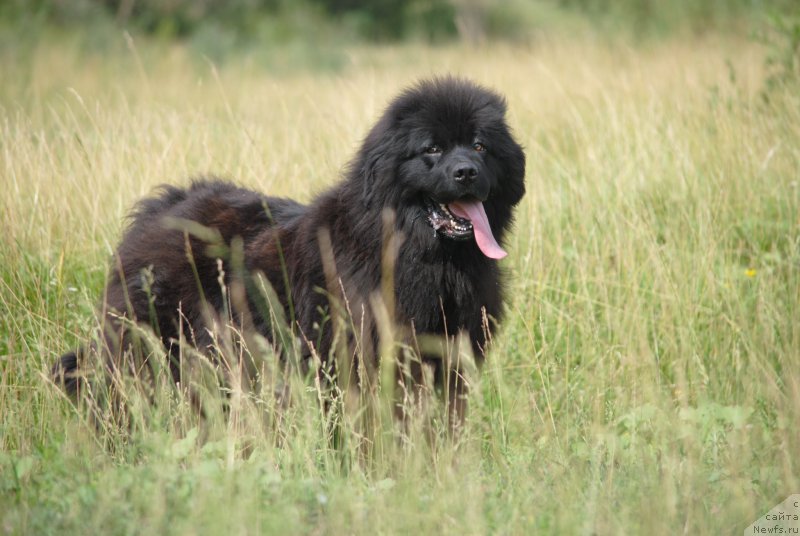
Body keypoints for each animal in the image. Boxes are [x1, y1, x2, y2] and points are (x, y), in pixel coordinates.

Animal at [59, 76, 528, 428]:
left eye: (480, 146)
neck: (415, 253)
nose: (466, 171)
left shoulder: (448, 365)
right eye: (432, 149)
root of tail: (165, 204)